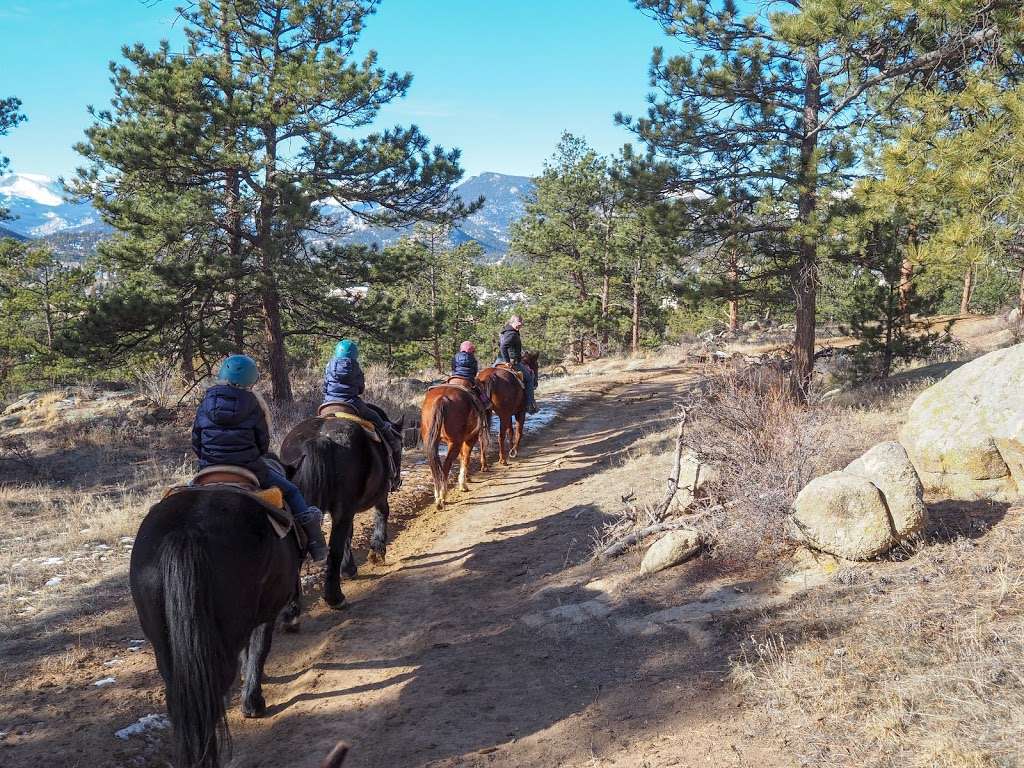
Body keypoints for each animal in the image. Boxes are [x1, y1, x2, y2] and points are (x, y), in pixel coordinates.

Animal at [130, 487, 301, 768]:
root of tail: (186, 531)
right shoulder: (266, 612)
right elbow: (258, 649)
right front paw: (253, 702)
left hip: (164, 647)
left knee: (181, 702)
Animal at [286, 411, 405, 610]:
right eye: (400, 447)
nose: (397, 481)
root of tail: (320, 438)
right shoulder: (378, 497)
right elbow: (381, 515)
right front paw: (377, 552)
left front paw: (349, 569)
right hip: (344, 509)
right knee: (335, 547)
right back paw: (335, 597)